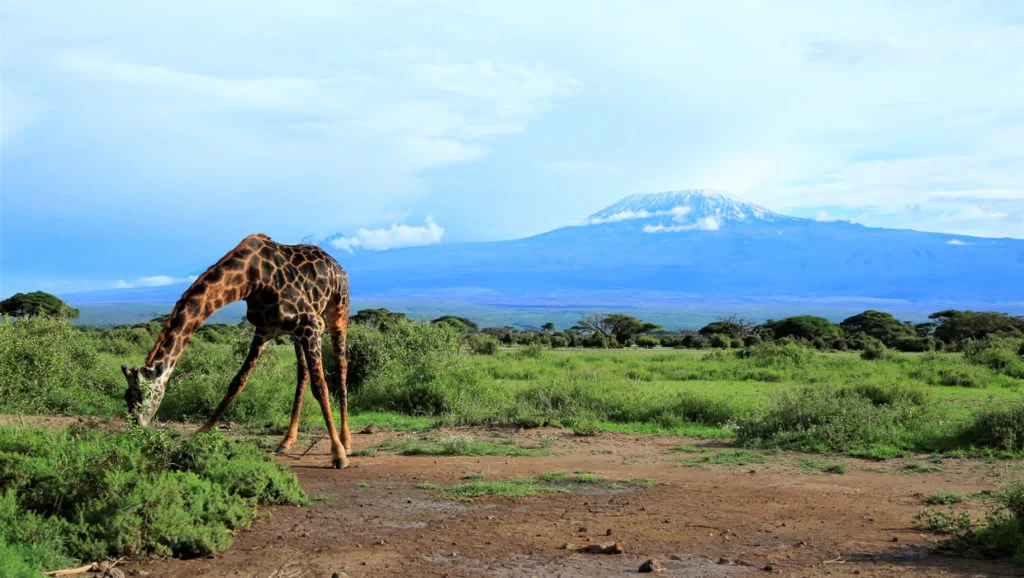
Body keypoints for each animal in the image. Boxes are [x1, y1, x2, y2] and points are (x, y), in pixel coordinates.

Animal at [118, 232, 352, 467]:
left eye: (141, 396)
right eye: (126, 397)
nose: (138, 430)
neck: (250, 278)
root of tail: (336, 264)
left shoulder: (310, 323)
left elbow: (320, 386)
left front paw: (338, 454)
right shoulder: (265, 330)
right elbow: (237, 382)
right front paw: (200, 432)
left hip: (337, 311)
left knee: (341, 366)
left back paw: (346, 440)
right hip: (297, 332)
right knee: (302, 374)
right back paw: (287, 441)